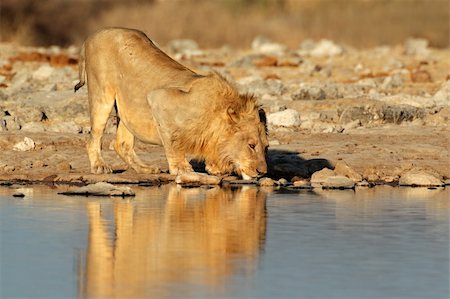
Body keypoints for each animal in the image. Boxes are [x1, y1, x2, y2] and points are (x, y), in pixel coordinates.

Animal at [74, 28, 268, 179]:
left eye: (266, 147)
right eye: (251, 145)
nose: (262, 172)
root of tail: (92, 36)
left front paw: (215, 168)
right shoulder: (159, 98)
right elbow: (173, 142)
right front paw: (182, 168)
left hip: (126, 108)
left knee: (121, 144)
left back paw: (145, 168)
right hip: (102, 96)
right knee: (93, 138)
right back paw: (99, 166)